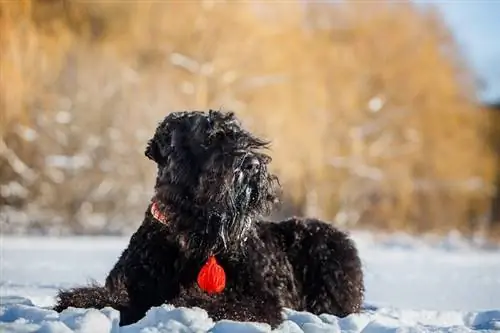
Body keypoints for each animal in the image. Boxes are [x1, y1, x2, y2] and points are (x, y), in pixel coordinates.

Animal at [54, 109, 366, 326]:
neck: (191, 240)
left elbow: (210, 302)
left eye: (243, 138)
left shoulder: (258, 301)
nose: (252, 164)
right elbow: (103, 298)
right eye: (209, 140)